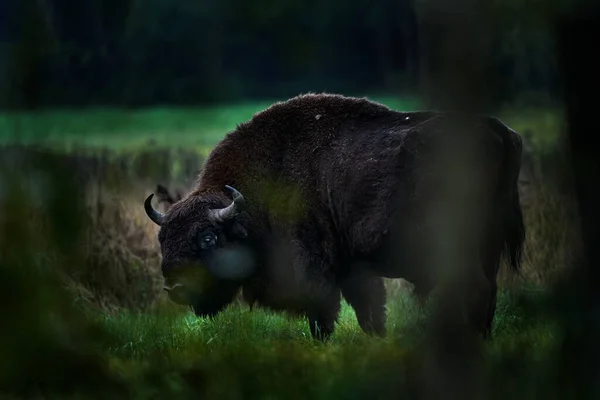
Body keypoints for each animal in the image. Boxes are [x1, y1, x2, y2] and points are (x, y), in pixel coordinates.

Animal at [144, 94, 524, 340]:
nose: (175, 288)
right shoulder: (354, 269)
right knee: (488, 290)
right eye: (164, 239)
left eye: (208, 237)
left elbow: (323, 314)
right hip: (489, 244)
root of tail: (497, 130)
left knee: (475, 287)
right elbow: (370, 311)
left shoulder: (316, 269)